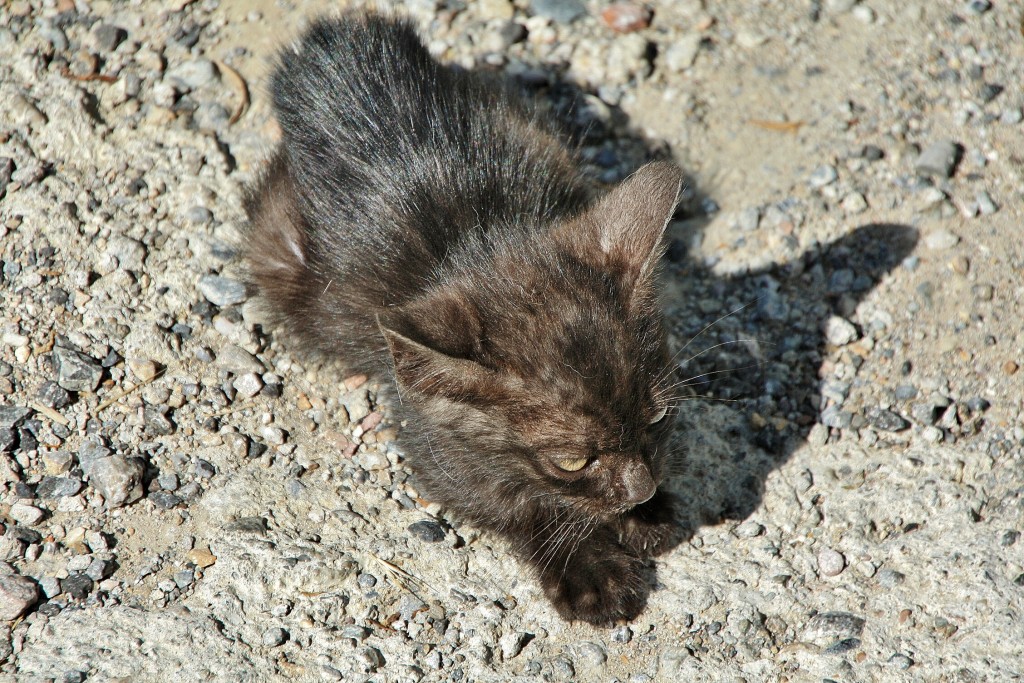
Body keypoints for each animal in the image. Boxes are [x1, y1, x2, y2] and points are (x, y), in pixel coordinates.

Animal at [243, 12, 684, 626]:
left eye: (659, 416)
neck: (480, 237)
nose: (641, 490)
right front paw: (590, 566)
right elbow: (510, 502)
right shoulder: (427, 430)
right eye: (572, 459)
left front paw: (645, 515)